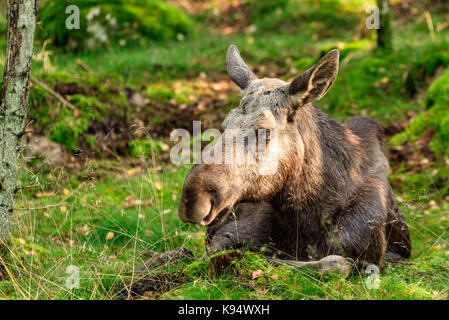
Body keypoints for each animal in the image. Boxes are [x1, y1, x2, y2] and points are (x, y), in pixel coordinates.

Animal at [175, 44, 410, 270]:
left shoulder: (372, 256)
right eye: (224, 125)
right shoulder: (226, 234)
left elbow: (333, 263)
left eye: (264, 130)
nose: (192, 199)